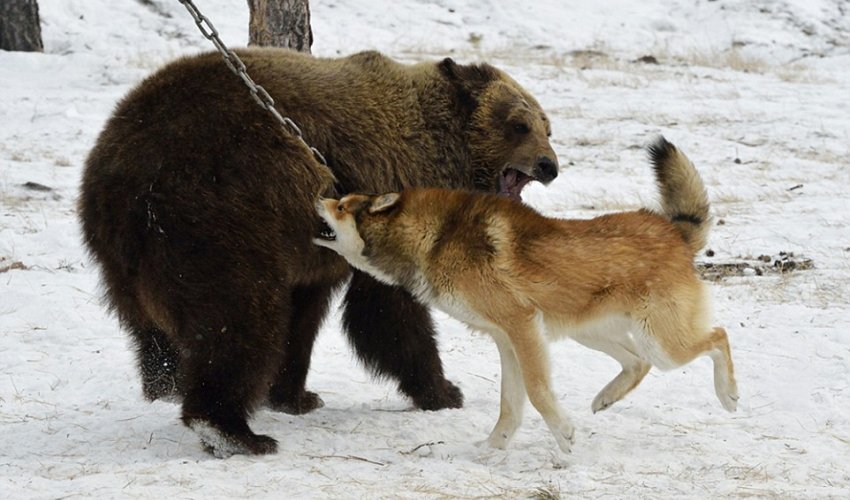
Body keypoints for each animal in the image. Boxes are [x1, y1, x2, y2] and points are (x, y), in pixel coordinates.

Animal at [78, 47, 556, 458]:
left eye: (547, 125)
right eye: (519, 124)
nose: (549, 165)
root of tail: (124, 175)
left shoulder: (313, 249)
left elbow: (304, 314)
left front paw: (296, 395)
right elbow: (387, 313)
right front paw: (444, 389)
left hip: (124, 251)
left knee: (150, 328)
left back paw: (166, 383)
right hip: (215, 214)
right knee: (239, 315)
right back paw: (232, 431)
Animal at [312, 138, 736, 454]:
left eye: (342, 205)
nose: (317, 196)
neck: (436, 237)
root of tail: (673, 232)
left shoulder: (522, 327)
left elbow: (535, 392)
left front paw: (563, 436)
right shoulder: (508, 340)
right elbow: (510, 405)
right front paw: (492, 449)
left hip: (661, 342)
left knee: (718, 336)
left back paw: (729, 395)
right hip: (591, 332)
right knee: (637, 363)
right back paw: (605, 398)